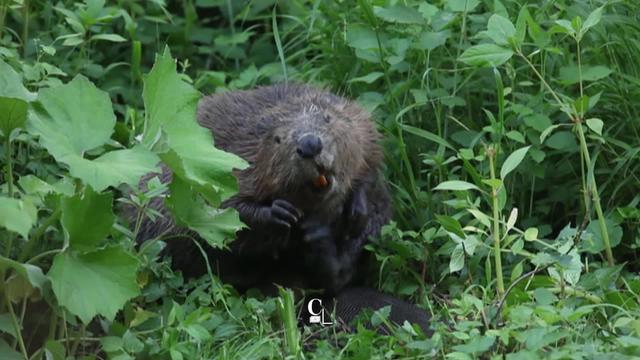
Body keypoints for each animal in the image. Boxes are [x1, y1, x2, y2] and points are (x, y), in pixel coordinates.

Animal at [138, 83, 432, 334]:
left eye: (327, 119)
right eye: (279, 139)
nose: (310, 145)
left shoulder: (355, 120)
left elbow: (370, 153)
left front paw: (356, 209)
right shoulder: (224, 156)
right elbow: (220, 208)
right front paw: (279, 213)